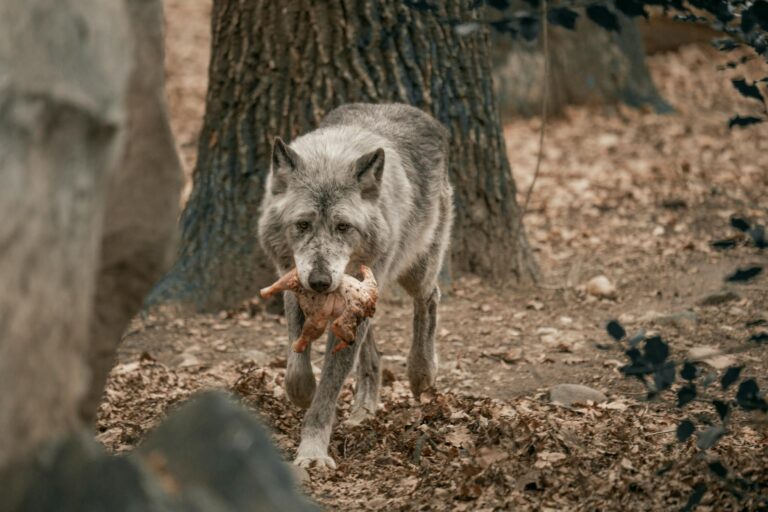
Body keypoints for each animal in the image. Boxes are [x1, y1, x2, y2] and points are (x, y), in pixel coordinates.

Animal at [258, 103, 453, 469]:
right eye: (302, 225)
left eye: (343, 227)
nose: (320, 282)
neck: (330, 156)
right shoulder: (292, 284)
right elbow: (296, 363)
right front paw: (302, 393)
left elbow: (327, 392)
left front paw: (312, 452)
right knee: (372, 353)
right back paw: (364, 410)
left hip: (415, 272)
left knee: (429, 299)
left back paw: (421, 372)